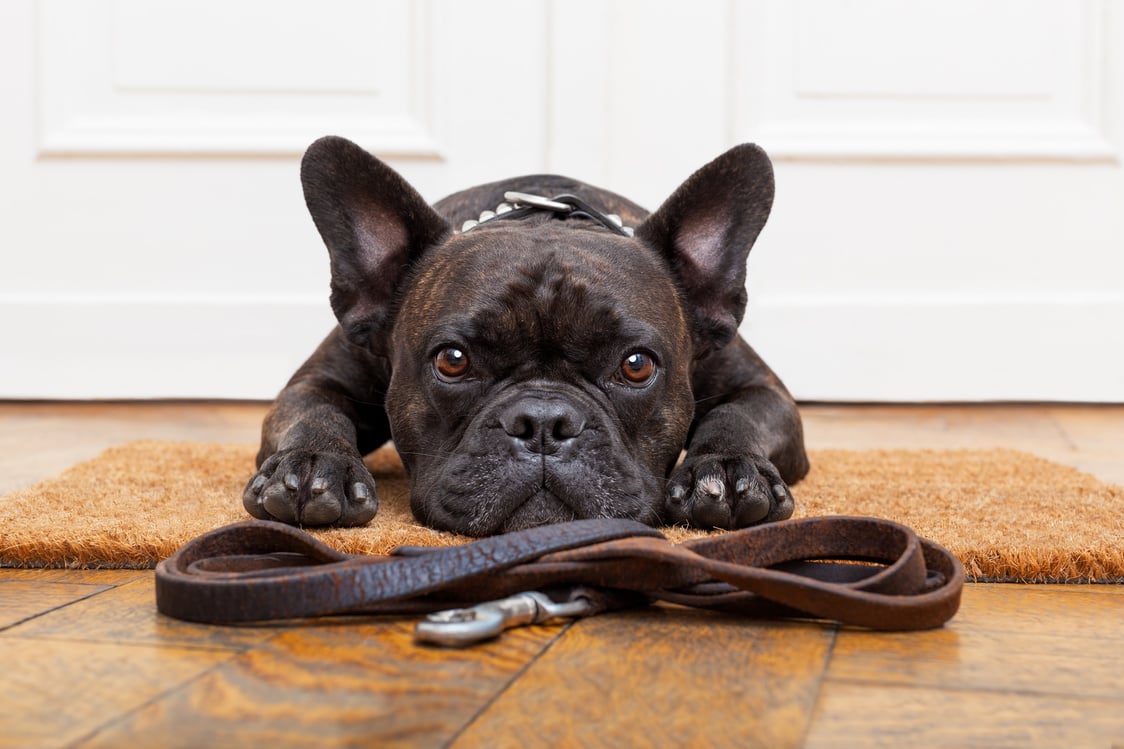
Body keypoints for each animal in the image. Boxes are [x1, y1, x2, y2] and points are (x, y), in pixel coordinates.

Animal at [246, 134, 809, 530]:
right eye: (452, 360)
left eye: (636, 365)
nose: (543, 422)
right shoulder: (317, 382)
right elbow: (315, 412)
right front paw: (315, 464)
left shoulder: (763, 390)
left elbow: (738, 415)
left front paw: (729, 470)